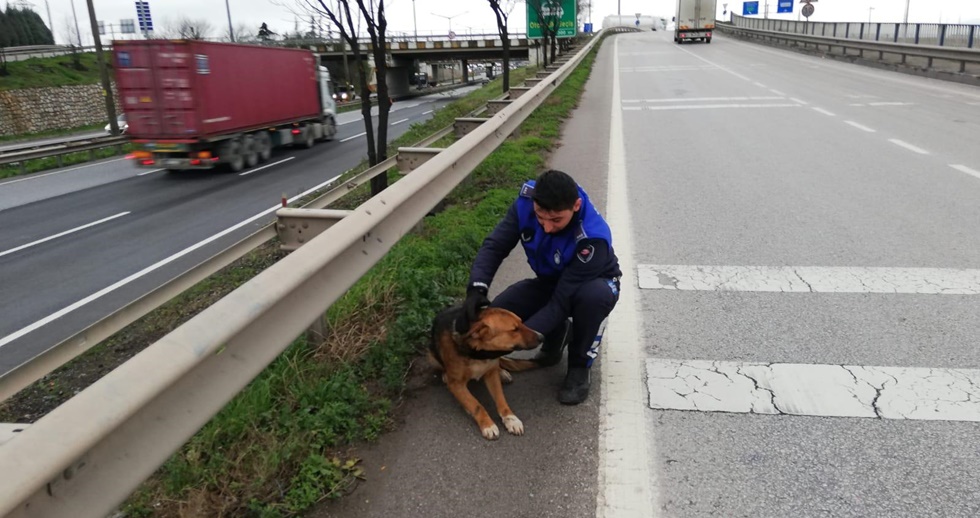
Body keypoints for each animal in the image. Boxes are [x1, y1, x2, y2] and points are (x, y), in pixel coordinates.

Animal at [430, 306, 548, 440]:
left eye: (521, 322)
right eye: (514, 329)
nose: (542, 337)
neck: (479, 353)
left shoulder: (491, 375)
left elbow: (501, 398)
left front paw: (510, 418)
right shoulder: (456, 385)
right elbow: (476, 405)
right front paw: (488, 425)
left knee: (498, 363)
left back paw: (502, 372)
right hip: (431, 357)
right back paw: (445, 375)